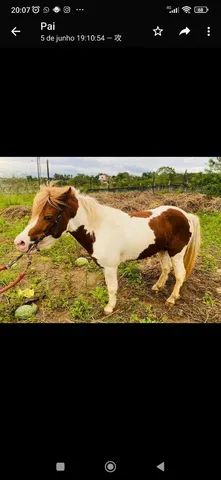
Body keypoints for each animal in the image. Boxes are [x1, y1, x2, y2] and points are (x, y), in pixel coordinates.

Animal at [13, 186, 200, 314]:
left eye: (48, 216)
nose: (20, 242)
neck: (99, 228)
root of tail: (185, 214)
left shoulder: (110, 267)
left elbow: (112, 288)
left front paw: (109, 308)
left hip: (177, 253)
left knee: (180, 274)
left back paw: (171, 299)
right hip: (162, 250)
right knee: (166, 269)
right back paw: (157, 287)